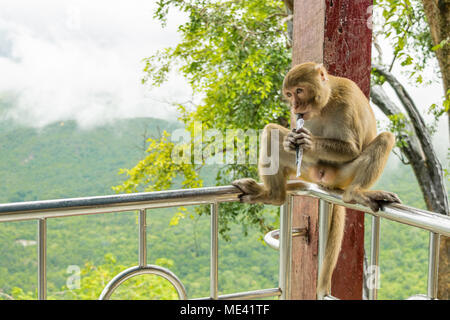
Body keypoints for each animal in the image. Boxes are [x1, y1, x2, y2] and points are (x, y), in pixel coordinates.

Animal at [232, 62, 400, 298]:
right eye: (289, 94)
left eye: (299, 91)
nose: (295, 106)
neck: (326, 103)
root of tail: (328, 180)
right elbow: (281, 135)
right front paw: (291, 140)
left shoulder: (347, 101)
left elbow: (352, 148)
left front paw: (306, 141)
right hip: (307, 168)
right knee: (271, 131)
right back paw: (272, 194)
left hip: (344, 174)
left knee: (385, 138)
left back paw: (355, 192)